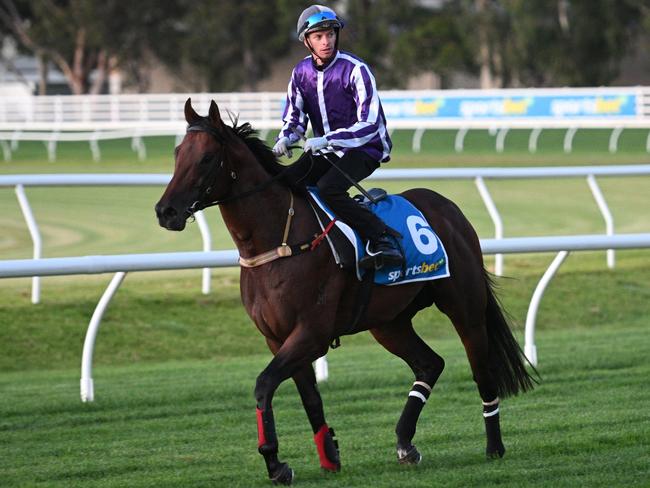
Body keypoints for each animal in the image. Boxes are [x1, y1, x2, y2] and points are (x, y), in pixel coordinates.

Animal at [154, 99, 536, 484]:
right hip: (389, 322)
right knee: (430, 364)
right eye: (177, 153)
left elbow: (264, 384)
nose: (165, 211)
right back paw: (404, 443)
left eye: (206, 158)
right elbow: (310, 398)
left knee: (481, 370)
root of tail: (449, 208)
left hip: (465, 308)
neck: (280, 242)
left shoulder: (311, 333)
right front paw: (329, 455)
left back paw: (494, 446)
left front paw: (275, 462)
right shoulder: (277, 338)